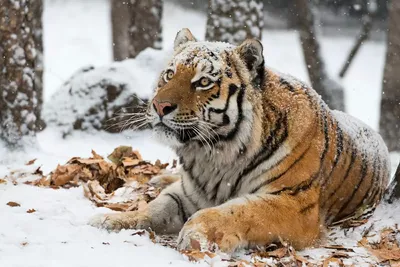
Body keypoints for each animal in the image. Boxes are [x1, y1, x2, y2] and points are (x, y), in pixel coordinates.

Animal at [88, 29, 390, 253]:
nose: (160, 106)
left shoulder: (295, 202)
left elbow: (240, 211)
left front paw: (197, 233)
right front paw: (110, 219)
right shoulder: (188, 192)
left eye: (203, 82)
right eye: (170, 74)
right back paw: (158, 179)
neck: (215, 156)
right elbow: (154, 208)